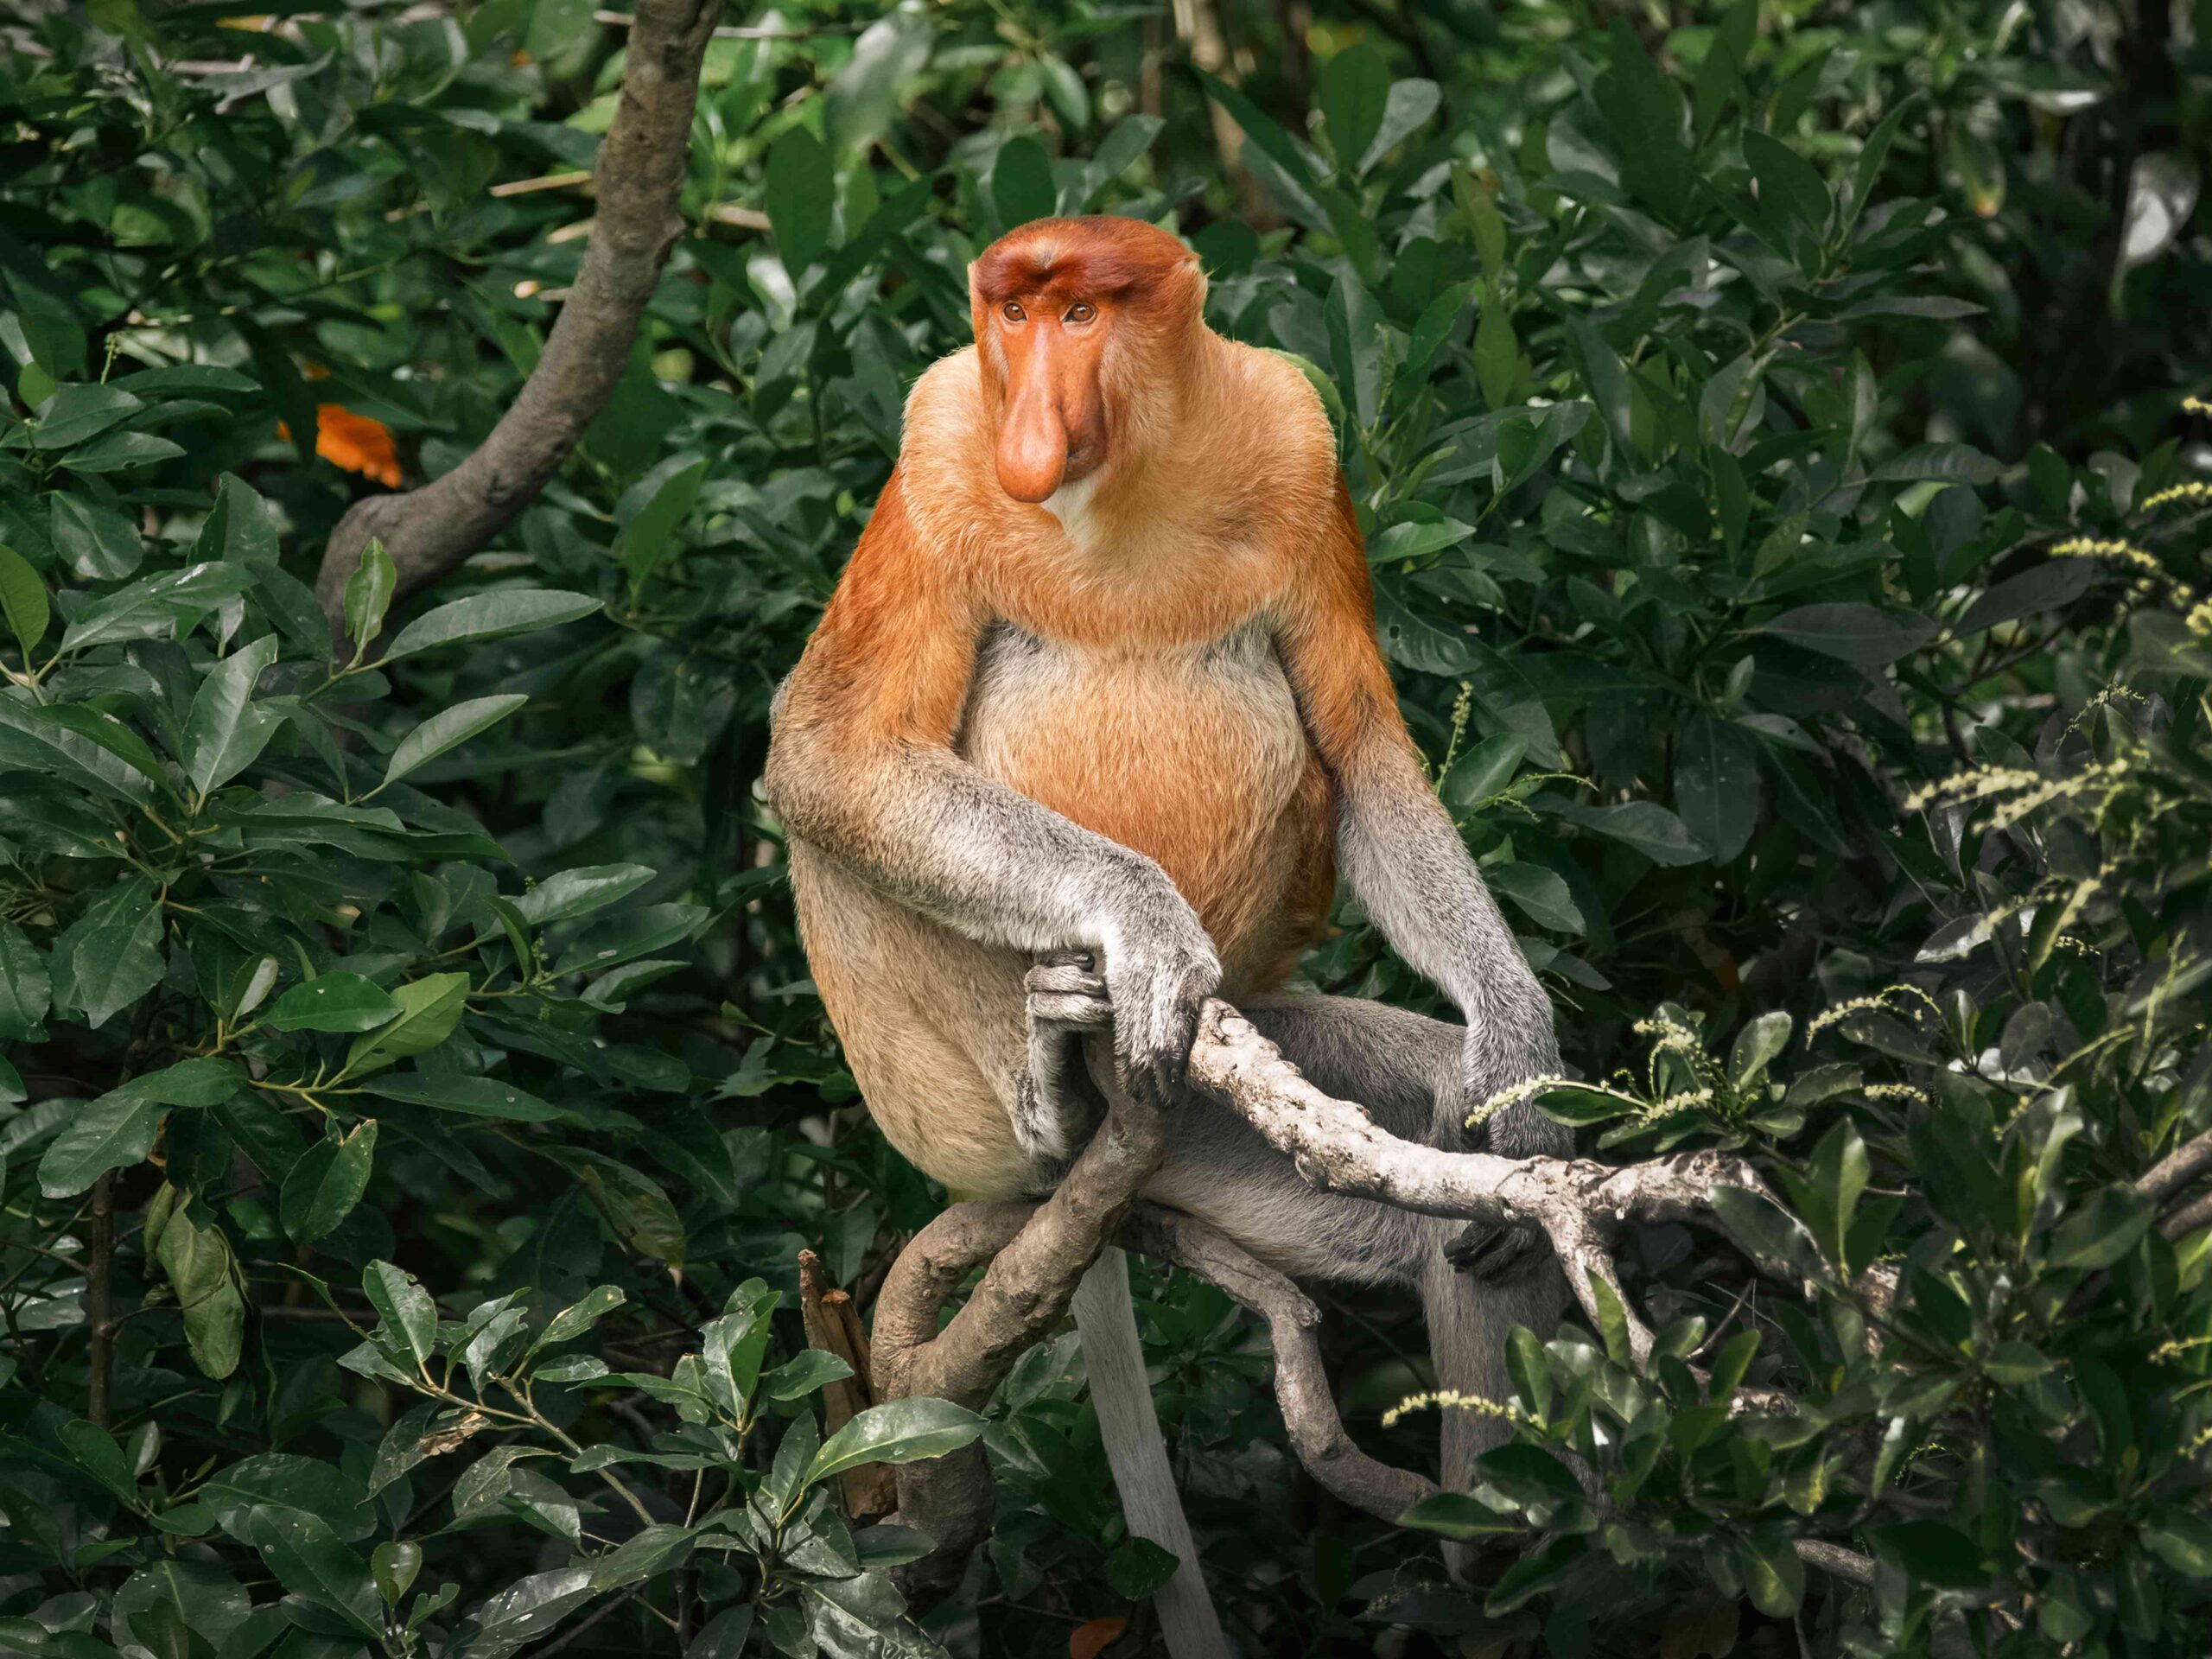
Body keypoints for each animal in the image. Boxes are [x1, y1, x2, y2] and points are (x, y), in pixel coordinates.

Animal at [763, 215, 1569, 1655]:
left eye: (1083, 314)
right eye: (1013, 315)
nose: (1034, 420)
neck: (1122, 491)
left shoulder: (1298, 441)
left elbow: (1358, 740)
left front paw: (1517, 1051)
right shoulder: (936, 452)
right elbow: (829, 752)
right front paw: (1144, 920)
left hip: (1205, 1114)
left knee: (1429, 1150)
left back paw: (1487, 1543)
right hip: (929, 1092)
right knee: (846, 834)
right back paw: (1051, 1082)